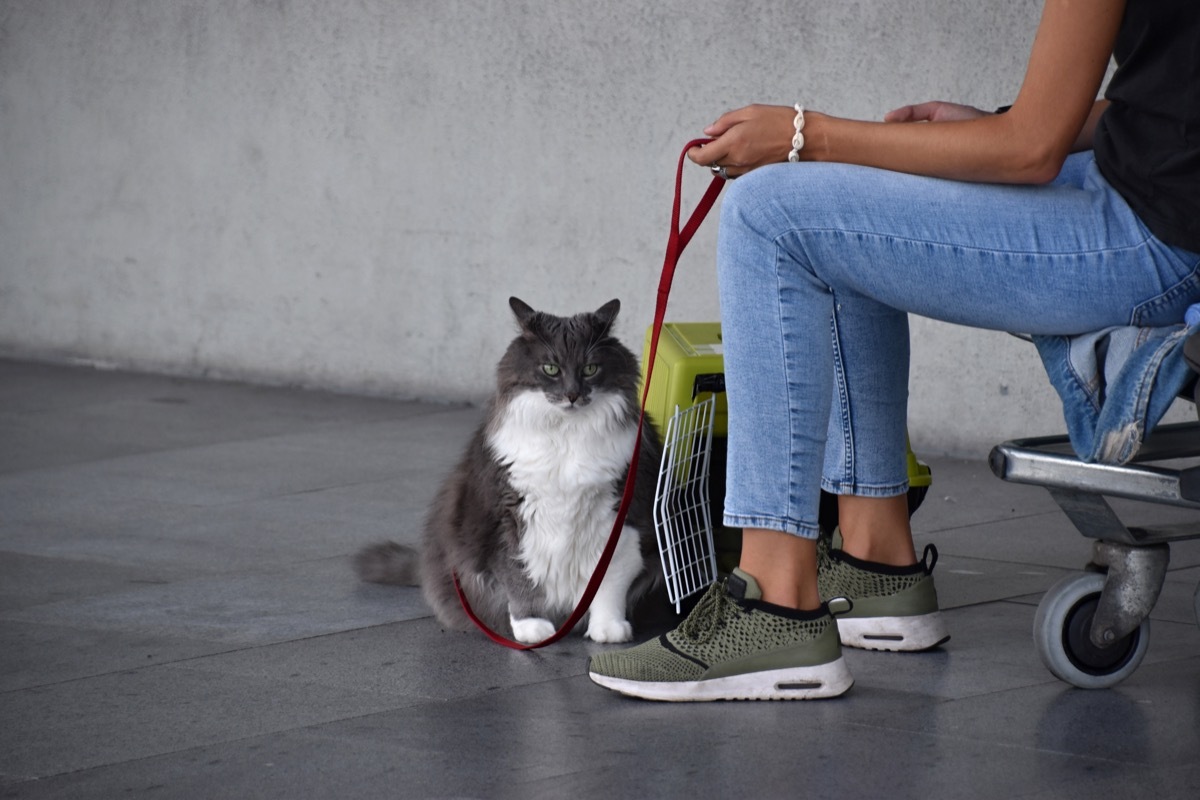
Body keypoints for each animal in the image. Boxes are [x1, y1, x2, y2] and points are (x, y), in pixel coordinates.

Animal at [352, 296, 667, 642]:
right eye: (551, 368)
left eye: (590, 369)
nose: (572, 395)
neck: (567, 435)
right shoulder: (505, 518)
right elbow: (519, 576)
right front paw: (532, 627)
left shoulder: (625, 516)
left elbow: (609, 581)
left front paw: (608, 629)